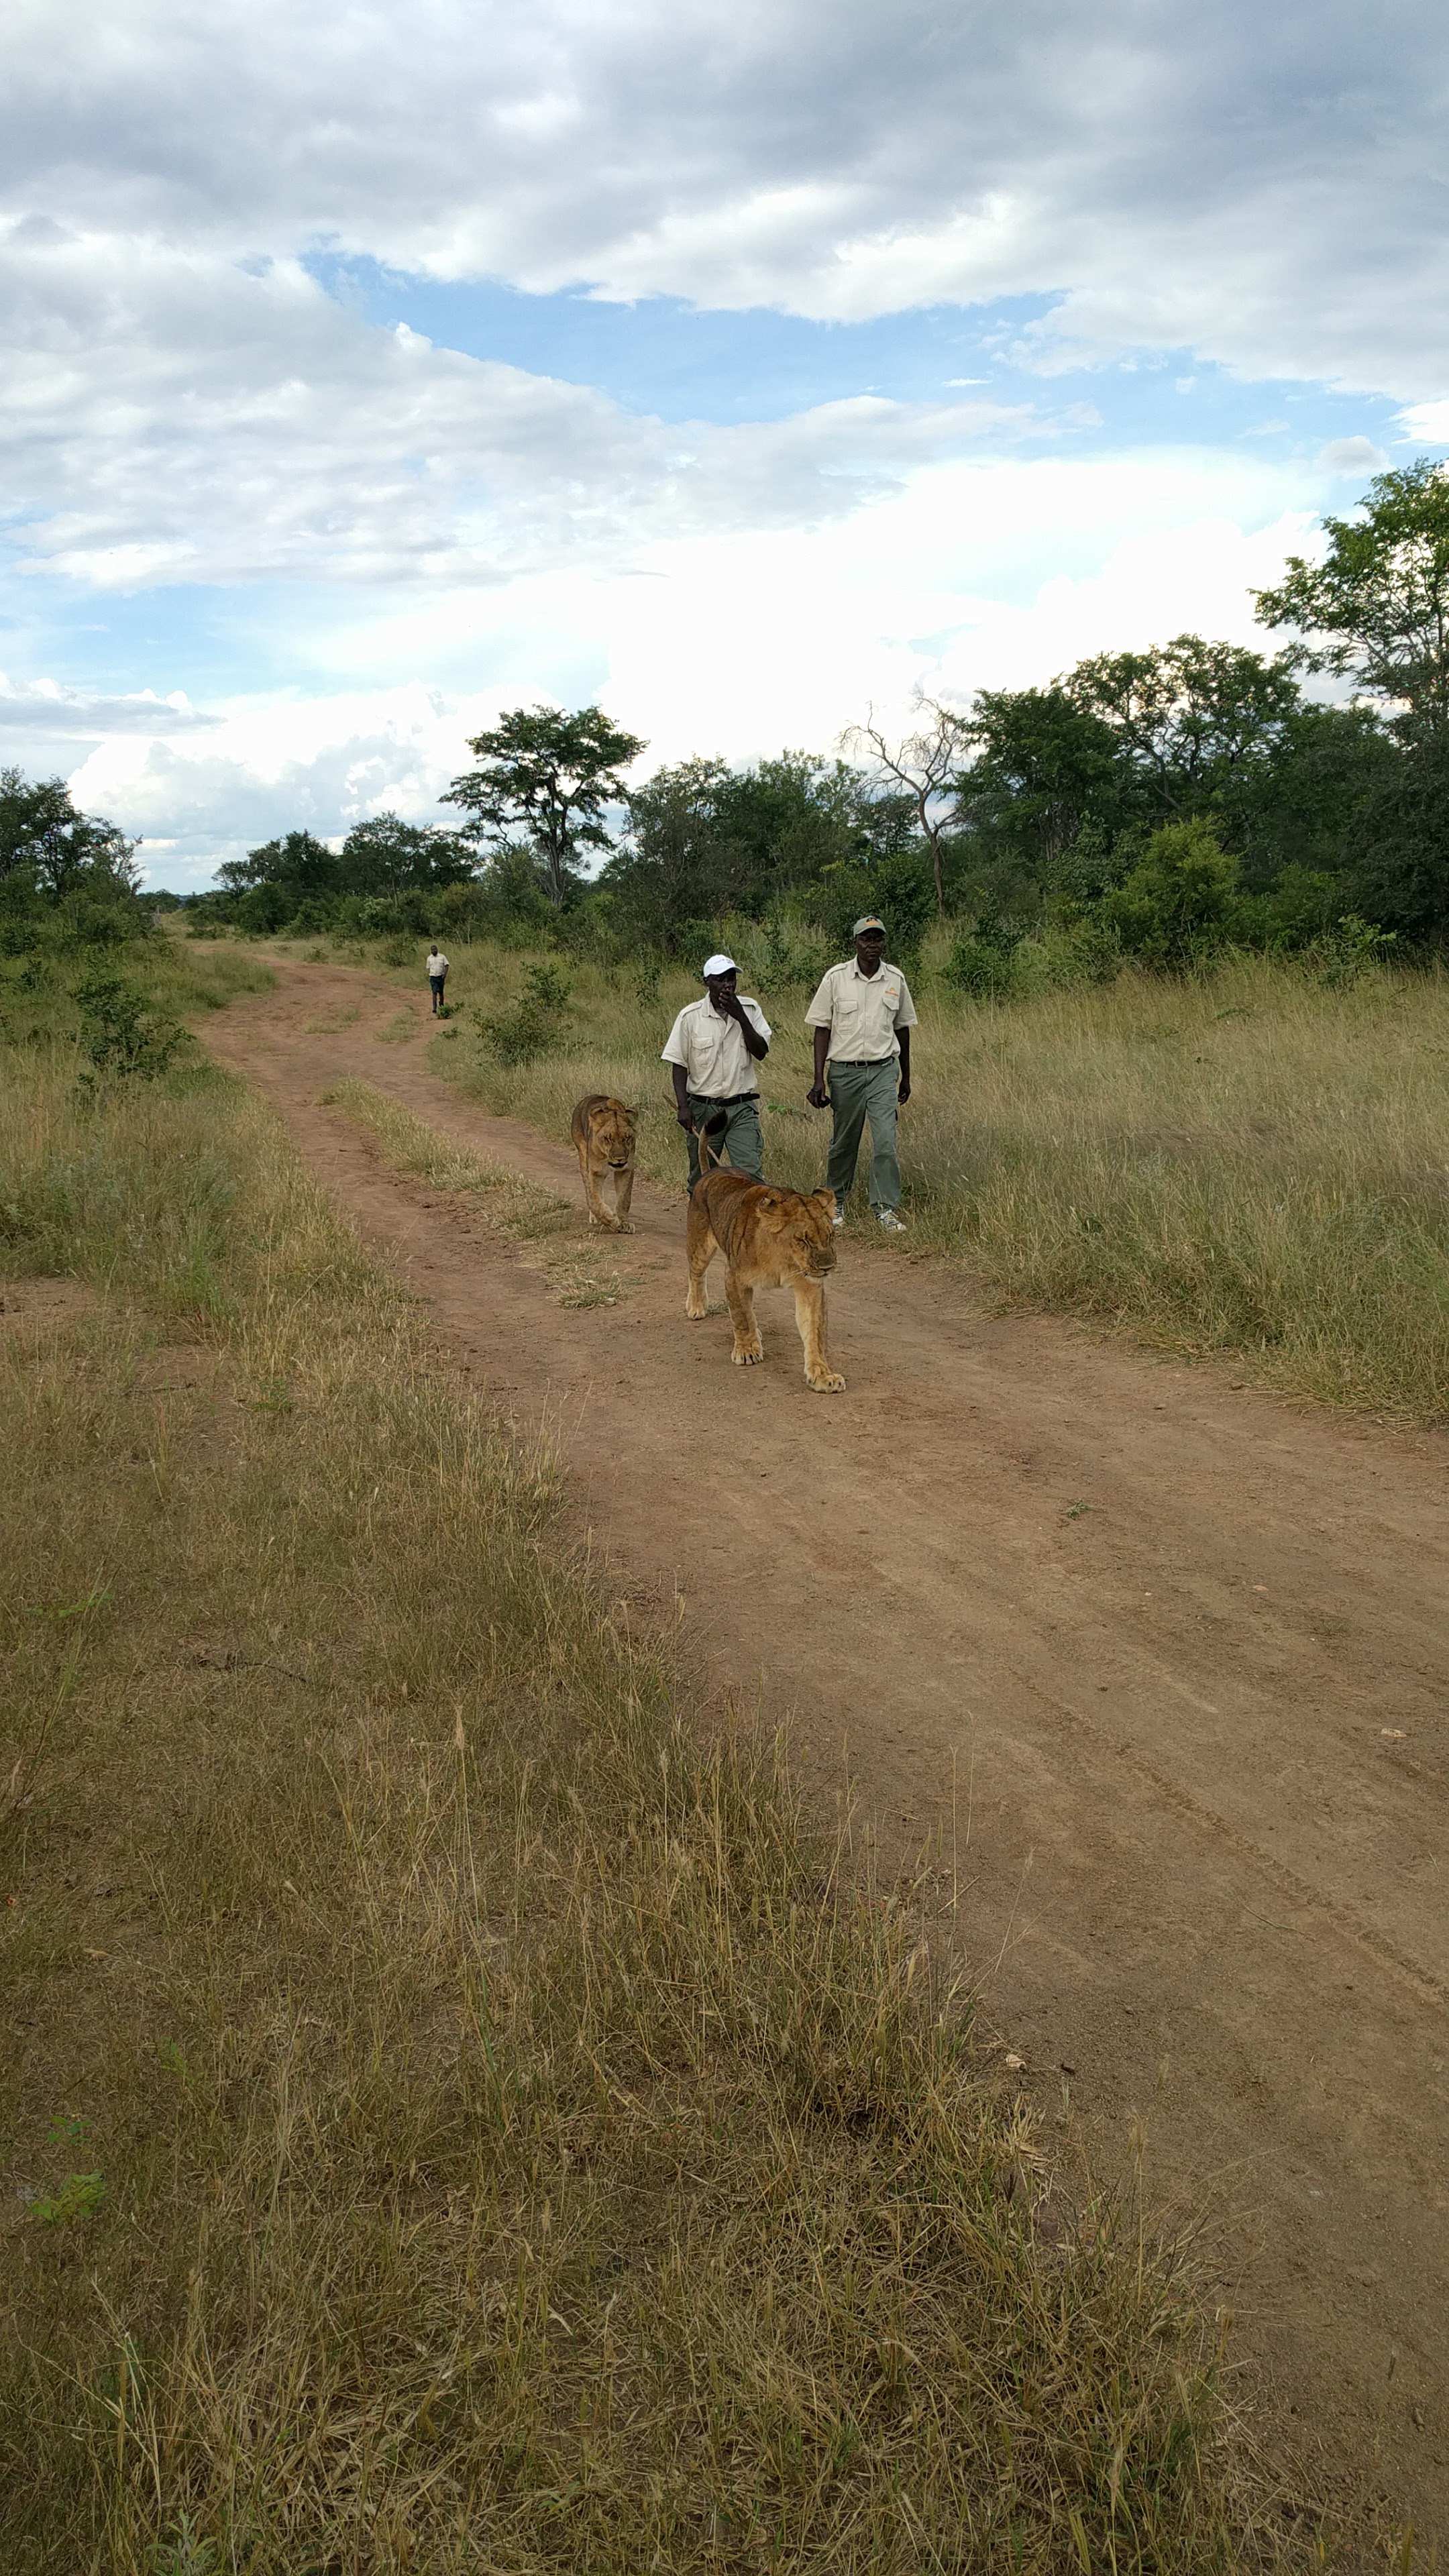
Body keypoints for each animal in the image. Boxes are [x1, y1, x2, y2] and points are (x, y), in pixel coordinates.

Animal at [570, 1094, 638, 1232]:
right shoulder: (596, 1172)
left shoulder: (626, 1169)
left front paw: (624, 1223)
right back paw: (595, 1217)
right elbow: (595, 1200)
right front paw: (611, 1221)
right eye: (608, 1139)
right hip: (584, 1159)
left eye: (627, 1138)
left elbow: (624, 1199)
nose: (619, 1158)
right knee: (589, 1192)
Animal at [685, 1163, 845, 1392]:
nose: (827, 1267)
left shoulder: (810, 1286)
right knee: (696, 1273)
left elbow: (814, 1332)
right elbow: (741, 1316)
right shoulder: (734, 1276)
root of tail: (714, 1170)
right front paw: (746, 1351)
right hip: (700, 1246)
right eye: (803, 1240)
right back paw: (696, 1307)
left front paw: (823, 1376)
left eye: (831, 1236)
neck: (784, 1259)